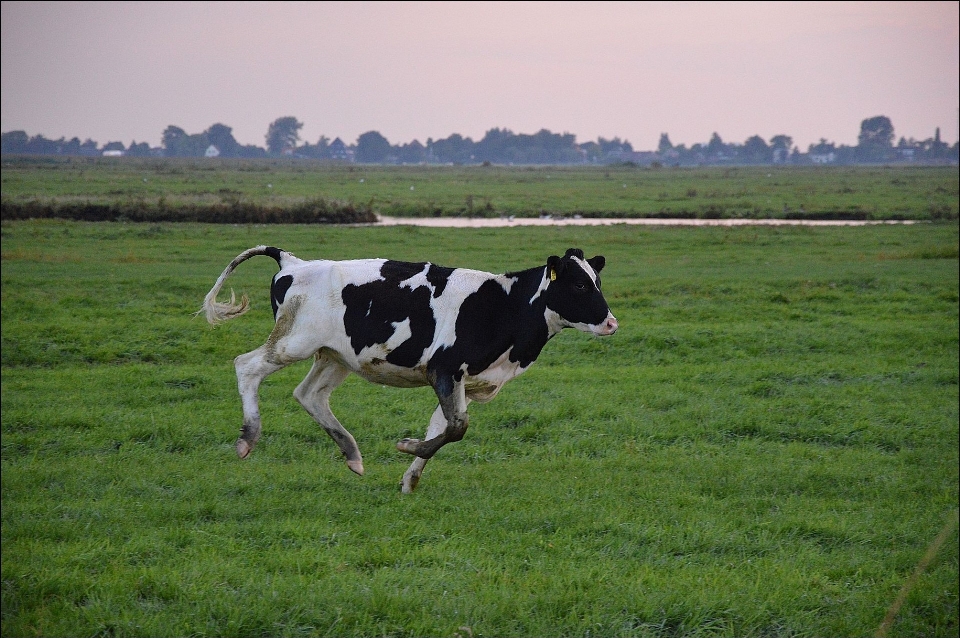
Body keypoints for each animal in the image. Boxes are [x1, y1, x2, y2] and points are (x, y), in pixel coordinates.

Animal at [203, 246, 624, 496]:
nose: (611, 323)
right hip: (293, 342)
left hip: (335, 356)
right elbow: (457, 428)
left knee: (310, 395)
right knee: (247, 367)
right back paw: (247, 438)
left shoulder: (463, 382)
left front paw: (410, 478)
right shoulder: (444, 369)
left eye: (597, 281)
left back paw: (351, 453)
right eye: (579, 285)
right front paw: (407, 446)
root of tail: (294, 263)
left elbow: (443, 428)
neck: (505, 304)